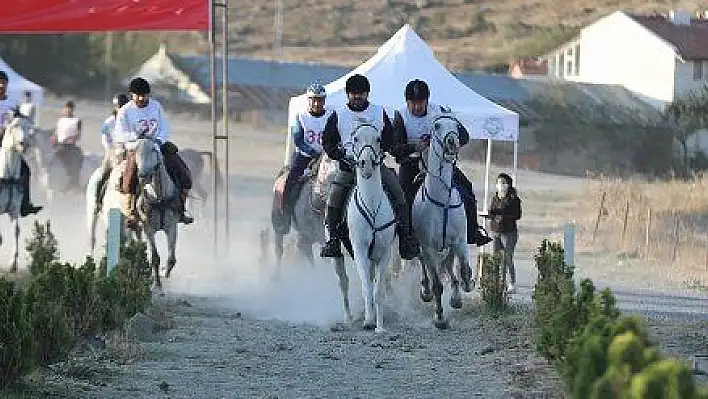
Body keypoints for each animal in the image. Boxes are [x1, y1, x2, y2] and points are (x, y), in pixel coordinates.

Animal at [410, 115, 476, 332]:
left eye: (457, 125)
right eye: (437, 126)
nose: (452, 142)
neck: (441, 201)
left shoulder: (460, 241)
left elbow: (463, 271)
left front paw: (466, 285)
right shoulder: (429, 248)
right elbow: (438, 285)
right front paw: (439, 318)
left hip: (449, 247)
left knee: (450, 268)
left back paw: (456, 295)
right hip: (425, 249)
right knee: (427, 269)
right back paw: (426, 291)